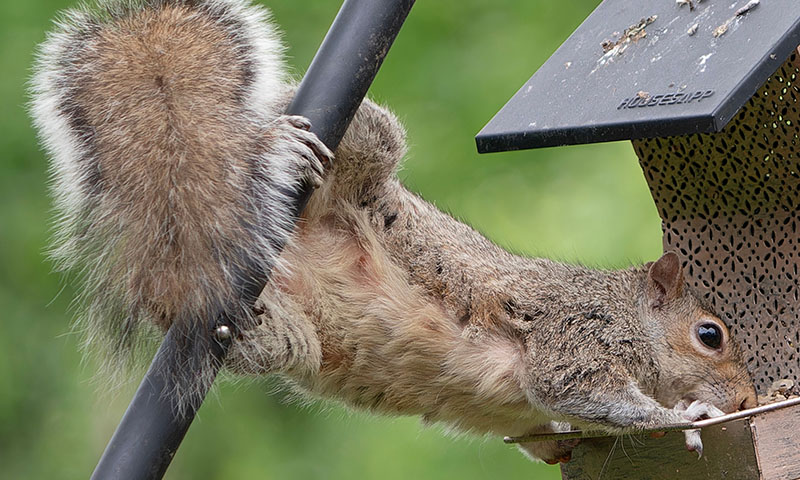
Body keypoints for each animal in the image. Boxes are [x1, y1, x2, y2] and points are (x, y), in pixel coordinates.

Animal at [31, 0, 757, 464]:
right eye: (710, 335)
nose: (750, 397)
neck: (628, 315)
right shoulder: (574, 334)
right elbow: (573, 387)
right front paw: (685, 418)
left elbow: (548, 432)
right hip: (360, 151)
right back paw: (275, 146)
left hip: (281, 332)